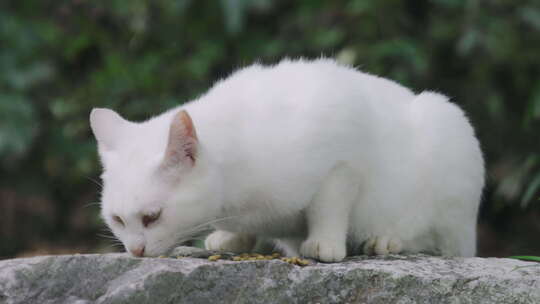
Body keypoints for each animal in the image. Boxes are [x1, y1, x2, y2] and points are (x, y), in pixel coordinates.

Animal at [90, 58, 484, 262]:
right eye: (118, 220)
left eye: (152, 217)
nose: (135, 251)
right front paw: (231, 238)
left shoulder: (343, 158)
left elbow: (328, 207)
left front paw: (325, 245)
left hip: (446, 129)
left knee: (439, 243)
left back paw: (385, 240)